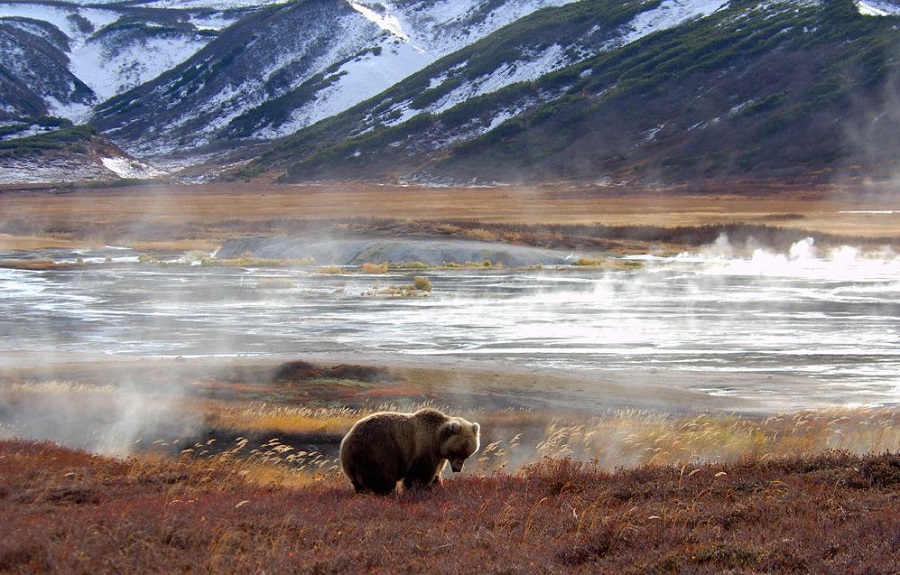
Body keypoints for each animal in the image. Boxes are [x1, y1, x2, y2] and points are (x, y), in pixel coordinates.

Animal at [340, 408, 482, 498]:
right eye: (456, 452)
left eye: (467, 454)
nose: (457, 469)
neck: (438, 441)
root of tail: (347, 440)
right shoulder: (424, 448)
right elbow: (419, 474)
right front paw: (418, 489)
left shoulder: (439, 457)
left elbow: (436, 473)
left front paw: (437, 485)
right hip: (379, 452)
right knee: (382, 477)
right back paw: (388, 493)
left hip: (356, 461)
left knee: (359, 481)